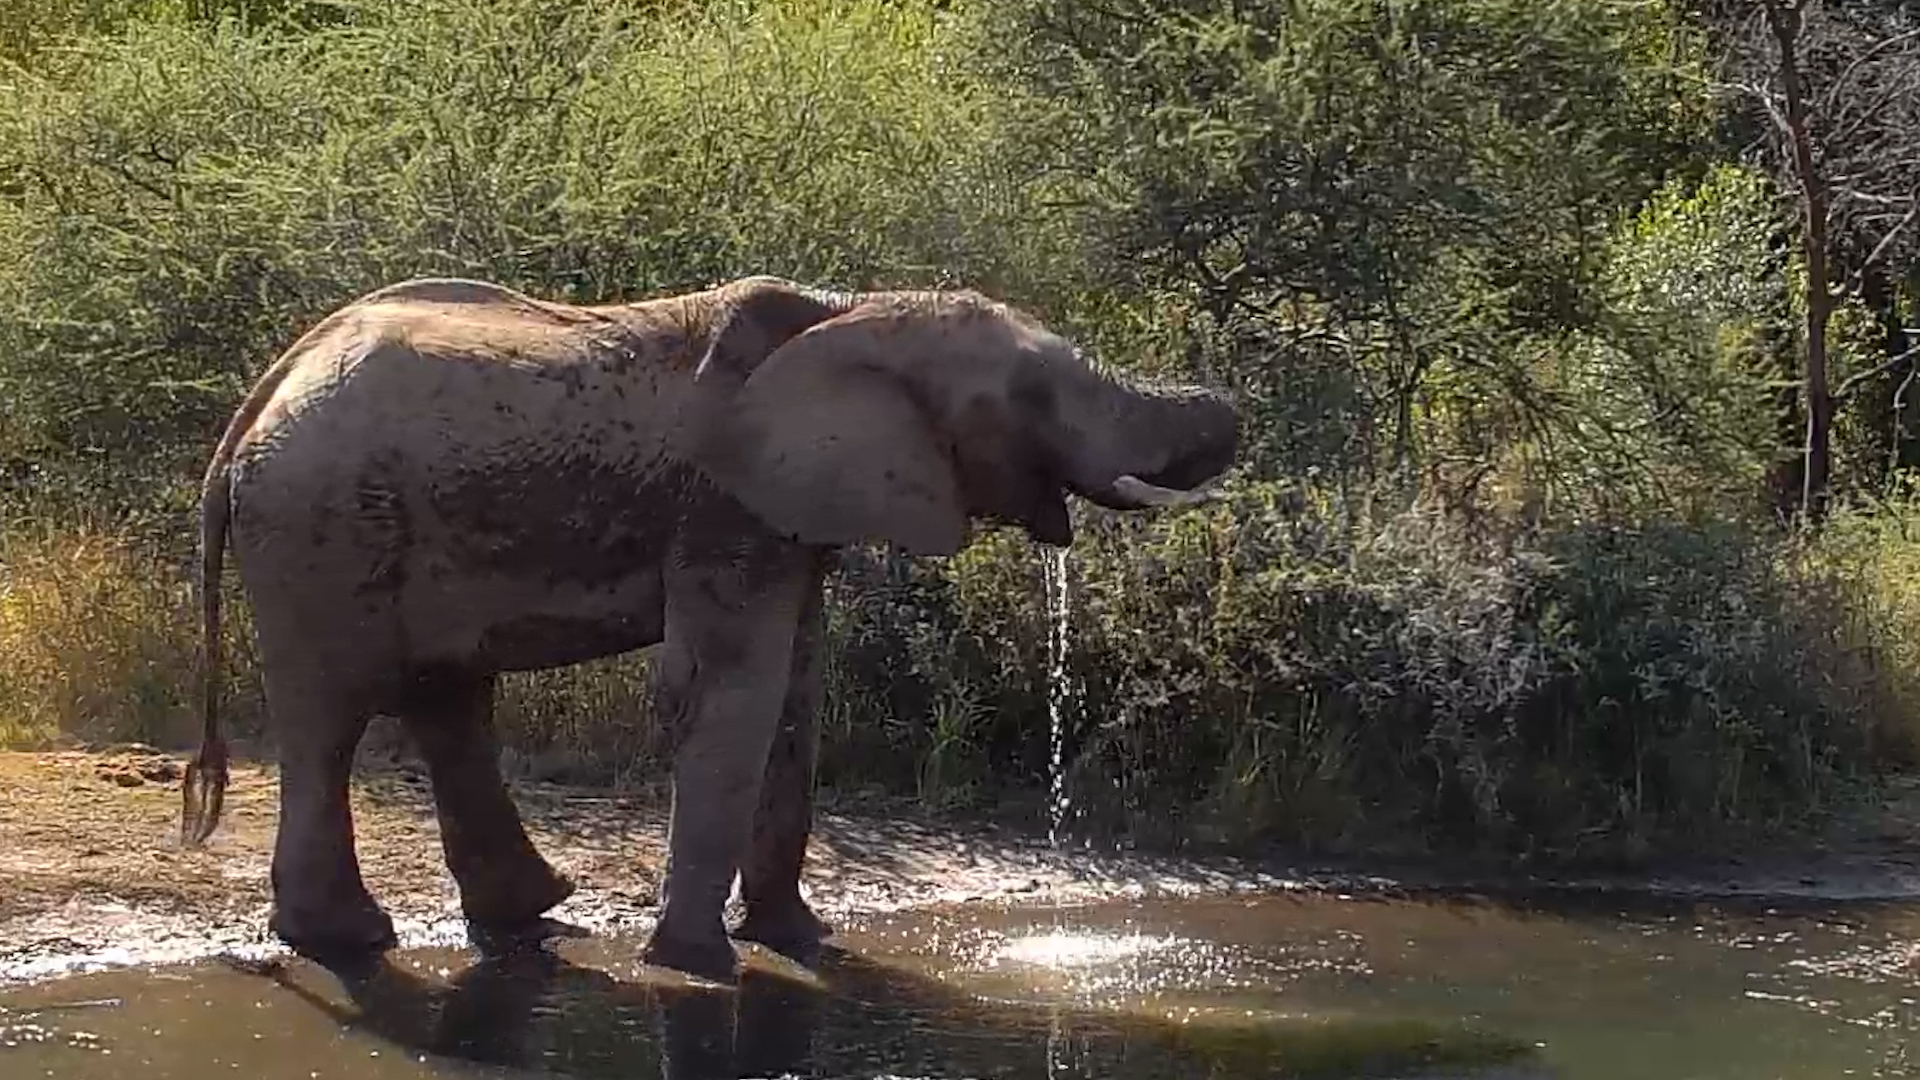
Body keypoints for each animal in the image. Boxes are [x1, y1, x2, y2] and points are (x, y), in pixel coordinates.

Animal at [176, 273, 1239, 984]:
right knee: (337, 713)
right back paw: (349, 940)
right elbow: (729, 689)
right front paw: (701, 964)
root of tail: (260, 399)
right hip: (323, 524)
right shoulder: (723, 503)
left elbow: (796, 694)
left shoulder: (787, 512)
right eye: (1031, 397)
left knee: (445, 699)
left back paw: (531, 918)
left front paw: (798, 940)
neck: (850, 310)